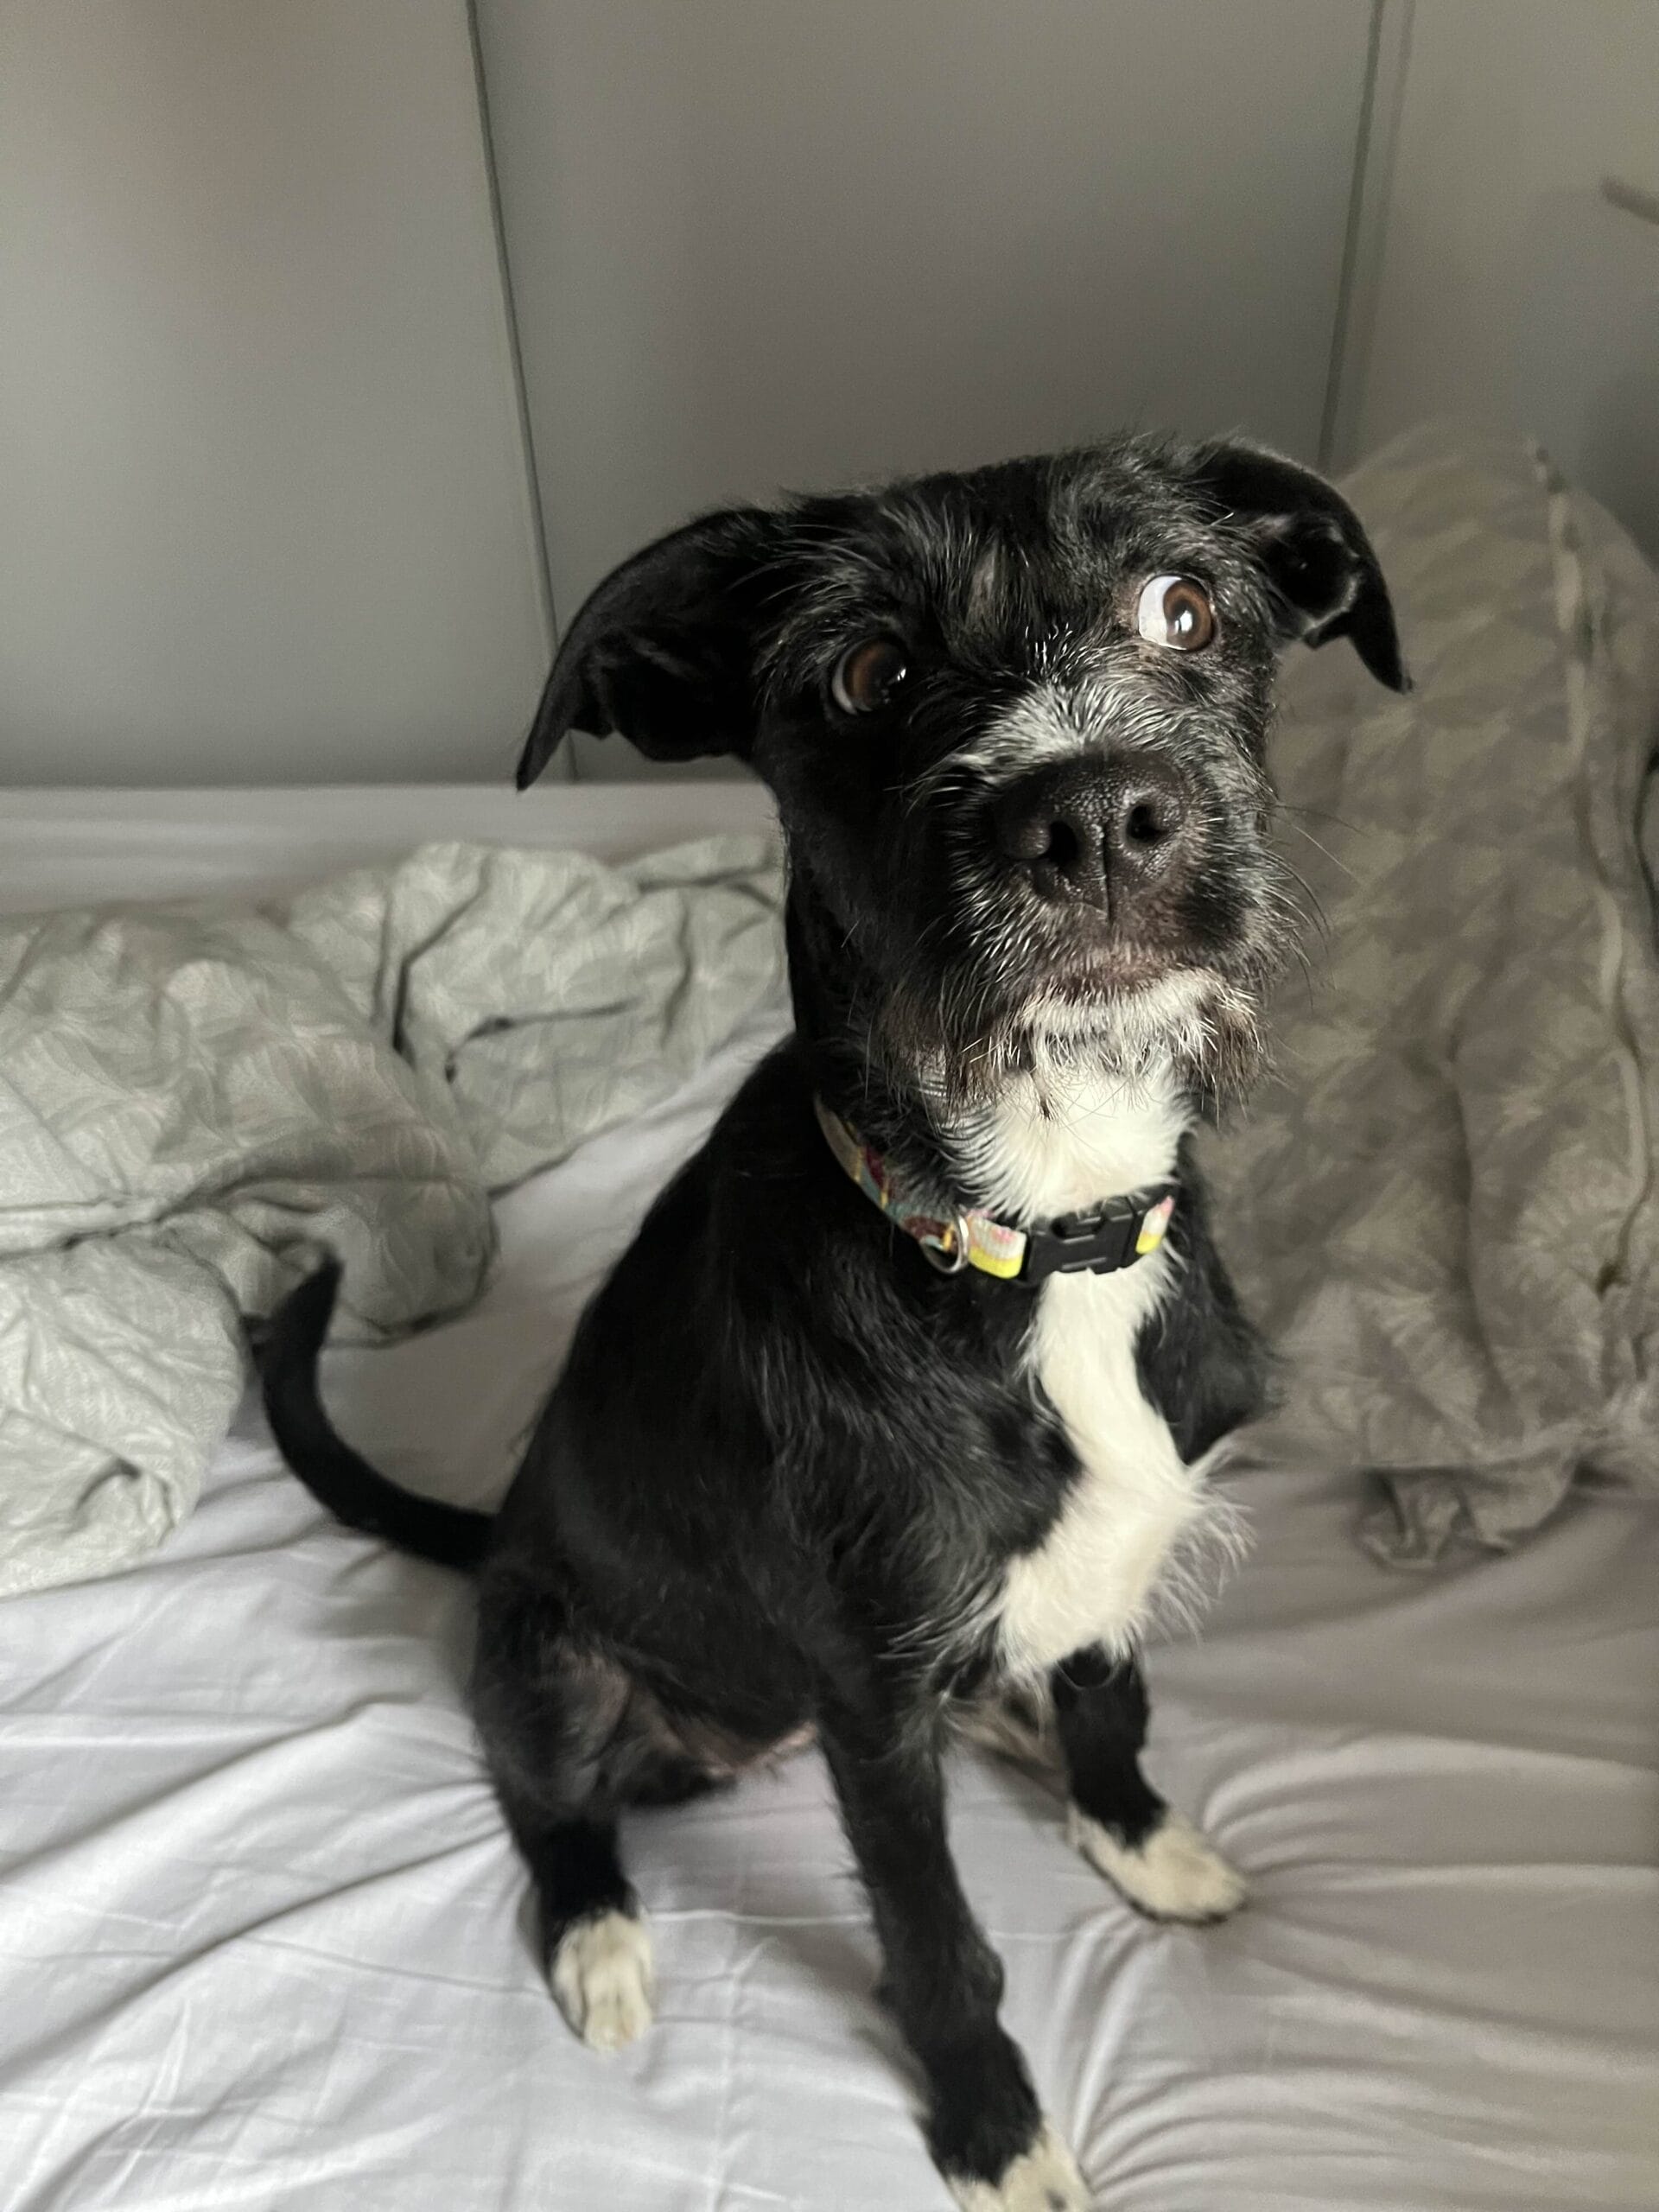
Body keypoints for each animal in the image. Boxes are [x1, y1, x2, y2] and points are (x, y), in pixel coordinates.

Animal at [263, 434, 1405, 2209]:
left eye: (1187, 606)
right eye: (870, 672)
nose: (1089, 815)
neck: (1033, 1236)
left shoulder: (1113, 1553)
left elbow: (1114, 1705)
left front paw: (1139, 1844)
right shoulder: (870, 1703)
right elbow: (934, 1930)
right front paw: (994, 2128)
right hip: (549, 1655)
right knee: (546, 1800)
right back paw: (599, 1939)